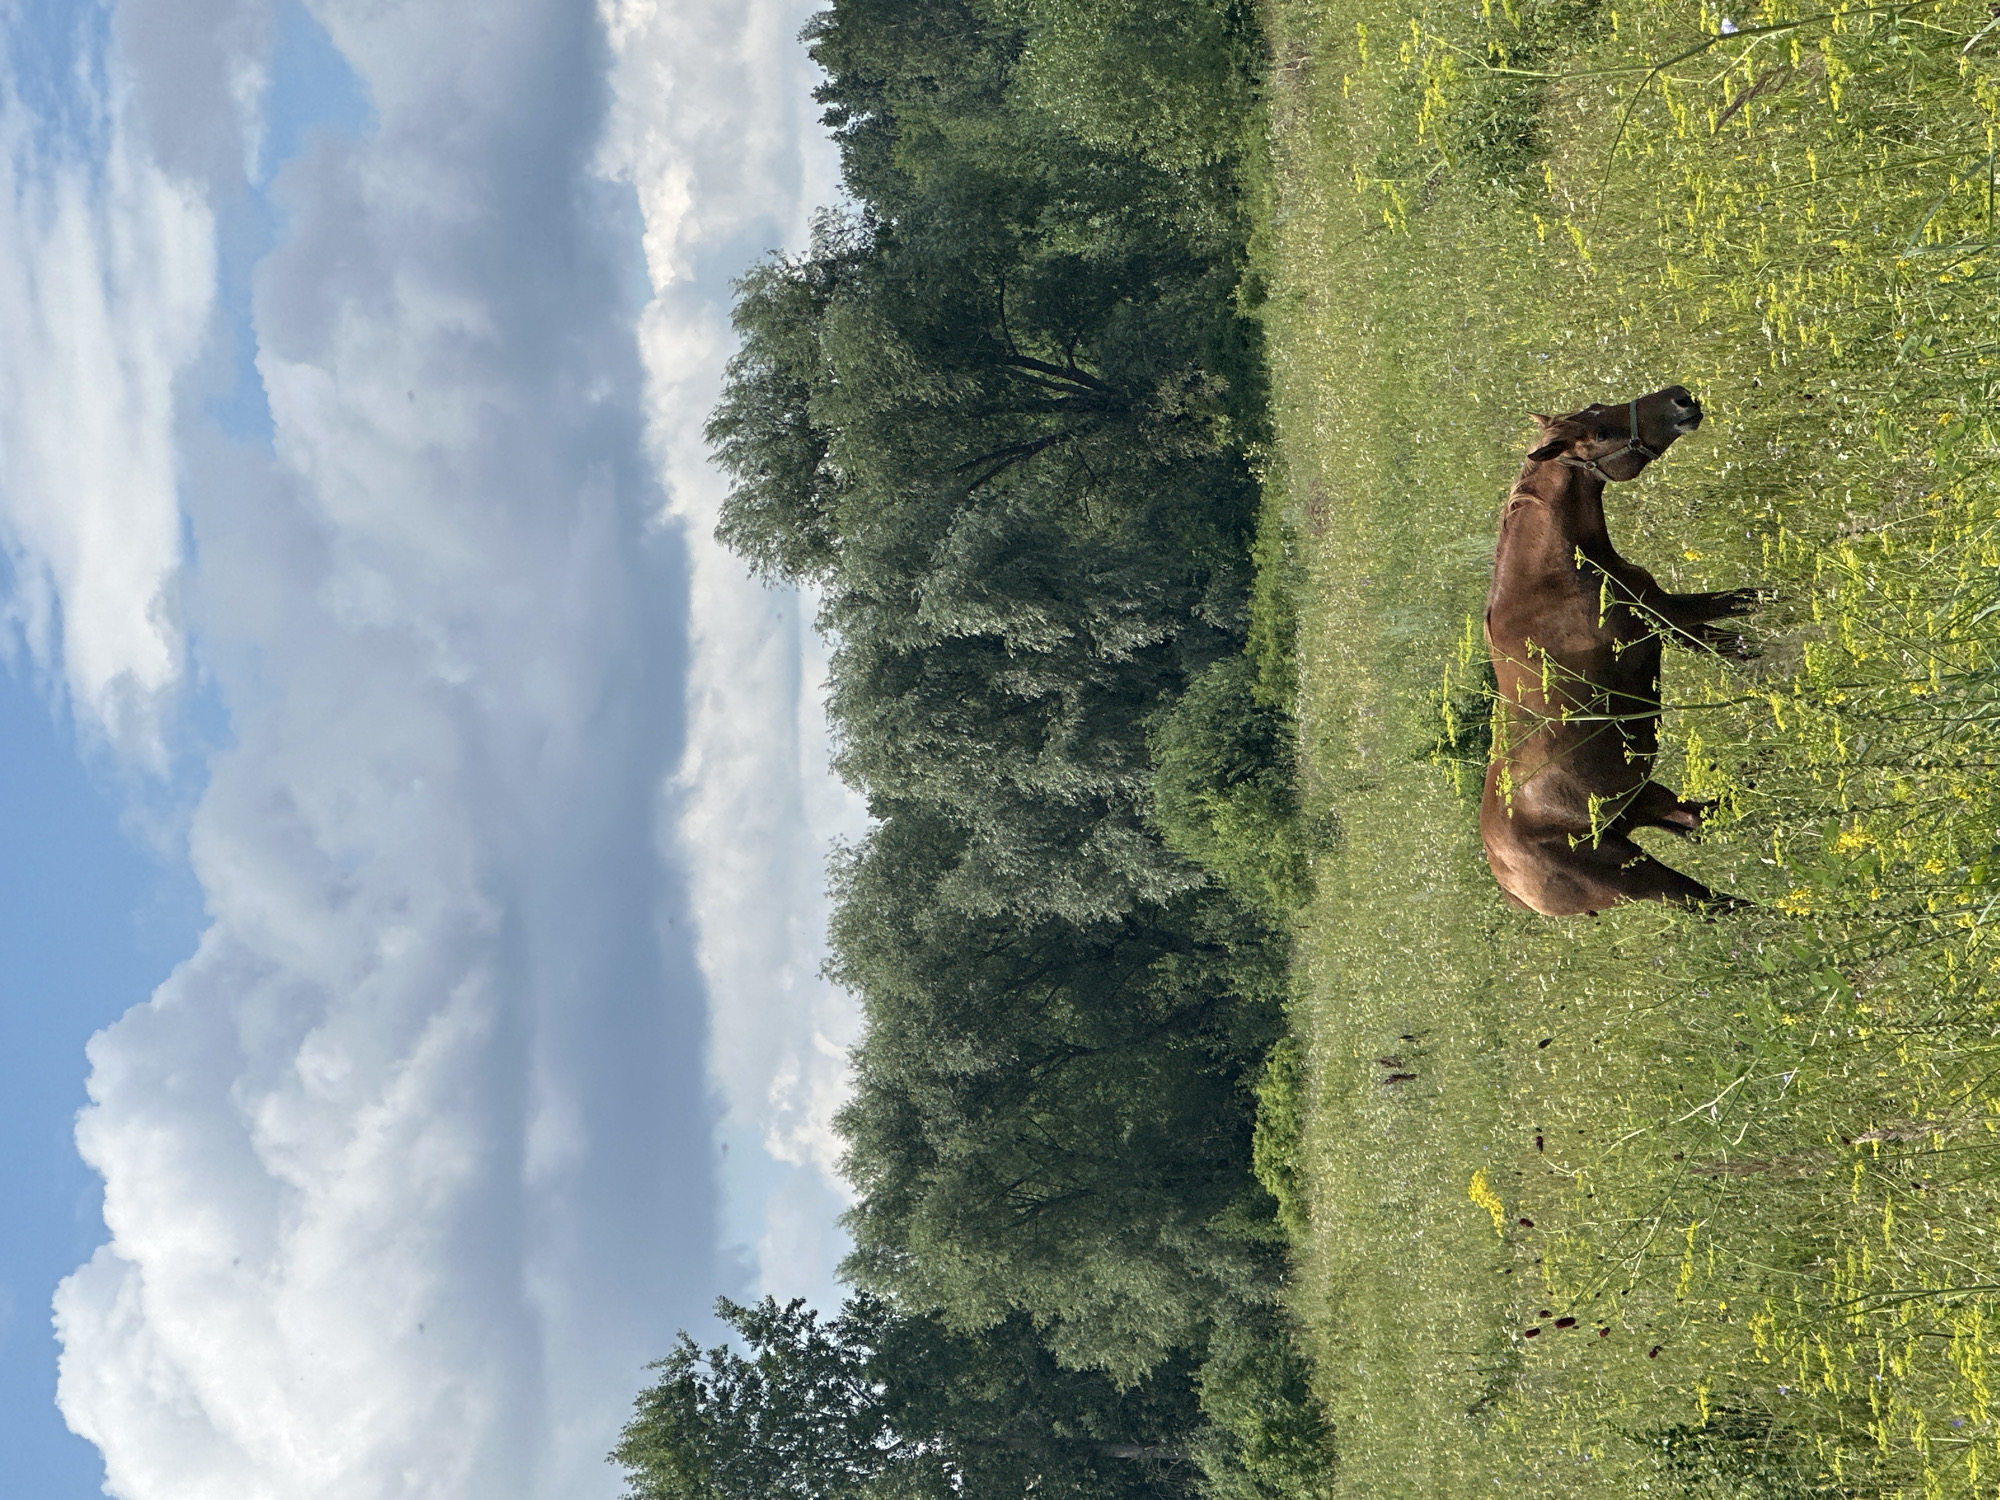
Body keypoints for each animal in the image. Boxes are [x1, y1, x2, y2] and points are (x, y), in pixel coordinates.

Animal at [1480, 385, 1759, 917]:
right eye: (1603, 432)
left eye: (1598, 409)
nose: (1680, 399)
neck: (1553, 577)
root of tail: (1512, 888)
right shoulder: (1667, 617)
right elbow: (1743, 614)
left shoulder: (1667, 621)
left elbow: (1737, 634)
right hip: (1644, 876)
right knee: (1709, 900)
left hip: (1642, 806)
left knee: (1699, 818)